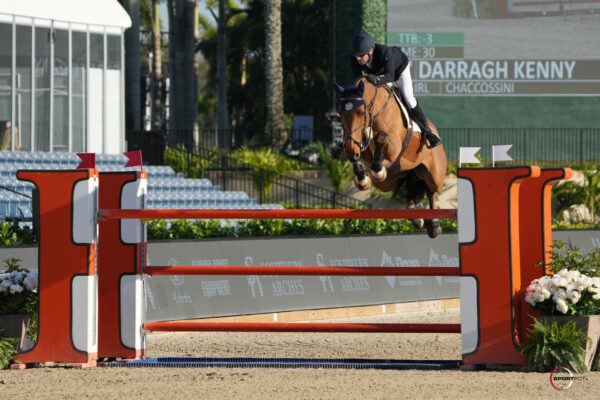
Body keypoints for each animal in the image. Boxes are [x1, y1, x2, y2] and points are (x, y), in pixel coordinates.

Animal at [332, 76, 446, 236]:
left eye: (361, 112)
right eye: (340, 113)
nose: (350, 148)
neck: (377, 109)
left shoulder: (394, 147)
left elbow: (381, 138)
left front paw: (377, 171)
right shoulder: (360, 146)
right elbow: (358, 156)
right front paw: (362, 178)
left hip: (434, 175)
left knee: (431, 191)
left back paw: (434, 225)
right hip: (390, 182)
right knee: (411, 190)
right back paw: (417, 218)